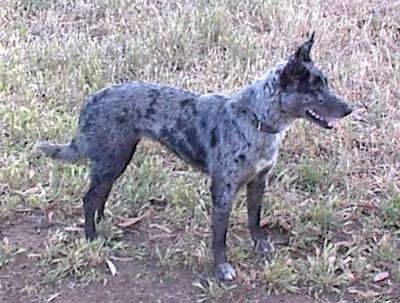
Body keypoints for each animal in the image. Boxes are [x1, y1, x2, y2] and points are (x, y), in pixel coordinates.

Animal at [35, 33, 354, 282]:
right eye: (315, 89)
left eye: (326, 83)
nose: (350, 108)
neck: (254, 120)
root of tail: (91, 100)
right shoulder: (222, 191)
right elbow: (219, 237)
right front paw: (222, 269)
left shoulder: (259, 182)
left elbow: (254, 218)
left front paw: (260, 245)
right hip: (112, 158)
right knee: (89, 198)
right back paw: (92, 237)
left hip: (117, 157)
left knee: (99, 194)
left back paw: (103, 223)